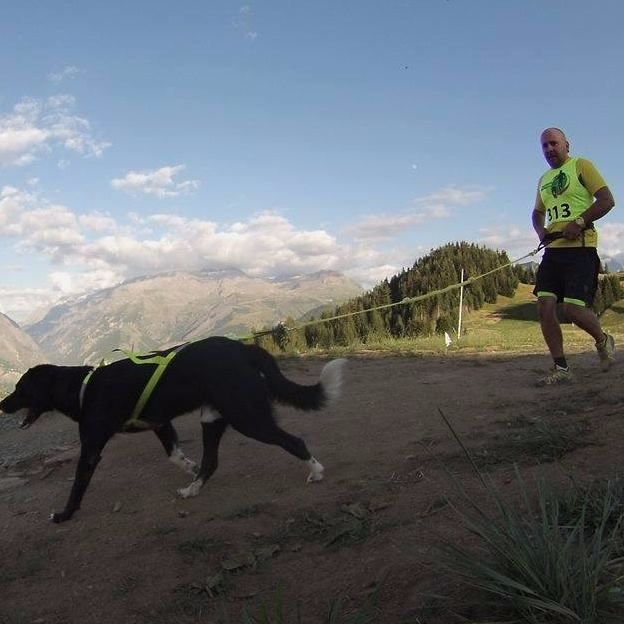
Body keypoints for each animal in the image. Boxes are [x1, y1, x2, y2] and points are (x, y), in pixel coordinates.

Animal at [0, 336, 346, 520]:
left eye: (20, 389)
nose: (2, 404)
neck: (84, 387)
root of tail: (242, 347)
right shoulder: (160, 423)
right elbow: (175, 456)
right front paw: (189, 468)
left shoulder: (91, 448)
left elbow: (77, 485)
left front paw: (64, 515)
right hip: (212, 418)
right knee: (211, 461)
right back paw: (193, 487)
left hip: (248, 417)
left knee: (294, 441)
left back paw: (316, 472)